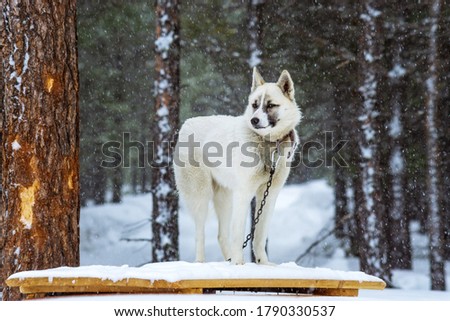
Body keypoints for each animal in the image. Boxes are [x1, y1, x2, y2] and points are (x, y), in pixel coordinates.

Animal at [174, 67, 300, 262]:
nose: (254, 120)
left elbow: (259, 237)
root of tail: (187, 123)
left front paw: (263, 264)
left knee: (221, 235)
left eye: (270, 105)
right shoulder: (244, 193)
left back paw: (228, 261)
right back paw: (202, 262)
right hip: (201, 196)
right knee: (200, 234)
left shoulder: (269, 195)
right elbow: (239, 234)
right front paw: (239, 264)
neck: (268, 144)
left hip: (225, 198)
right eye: (255, 105)